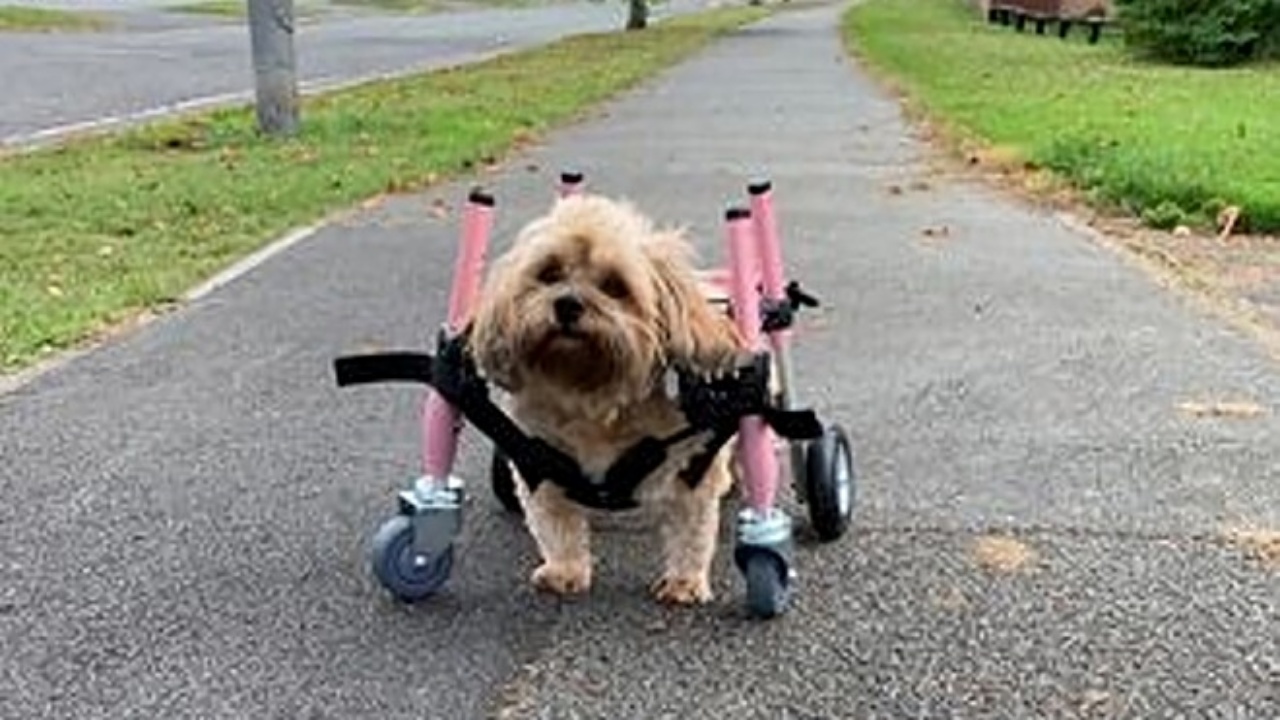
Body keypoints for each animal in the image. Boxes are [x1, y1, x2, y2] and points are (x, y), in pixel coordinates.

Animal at [471, 193, 747, 602]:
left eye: (615, 285)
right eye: (549, 273)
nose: (567, 304)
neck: (593, 393)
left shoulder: (693, 461)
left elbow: (692, 527)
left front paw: (684, 581)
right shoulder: (539, 458)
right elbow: (555, 521)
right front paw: (565, 570)